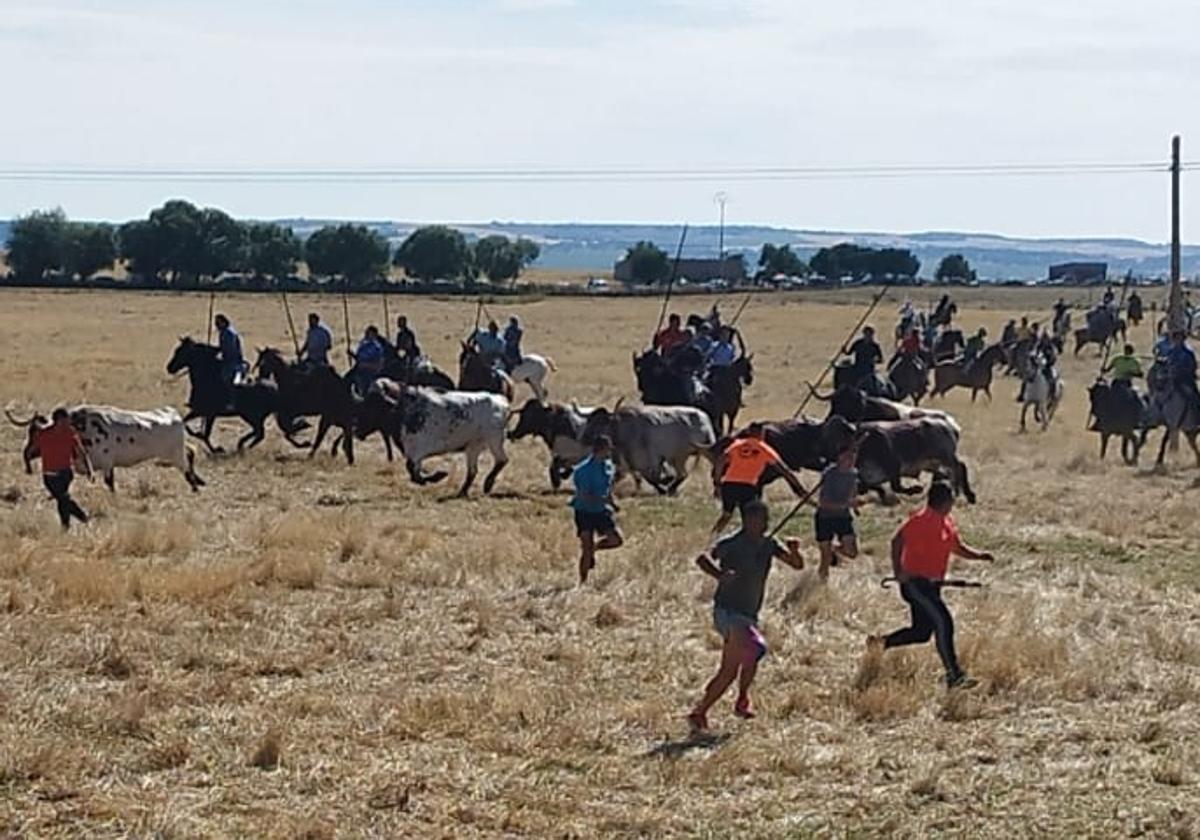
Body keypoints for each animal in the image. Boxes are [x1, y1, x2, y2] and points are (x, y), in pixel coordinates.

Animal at [165, 333, 304, 456]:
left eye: (181, 351)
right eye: (177, 350)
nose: (169, 368)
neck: (208, 377)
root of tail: (275, 388)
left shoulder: (206, 412)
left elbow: (202, 433)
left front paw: (216, 448)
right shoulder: (202, 412)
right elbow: (194, 427)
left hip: (251, 415)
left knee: (260, 433)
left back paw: (242, 447)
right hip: (253, 416)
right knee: (259, 433)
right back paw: (242, 446)